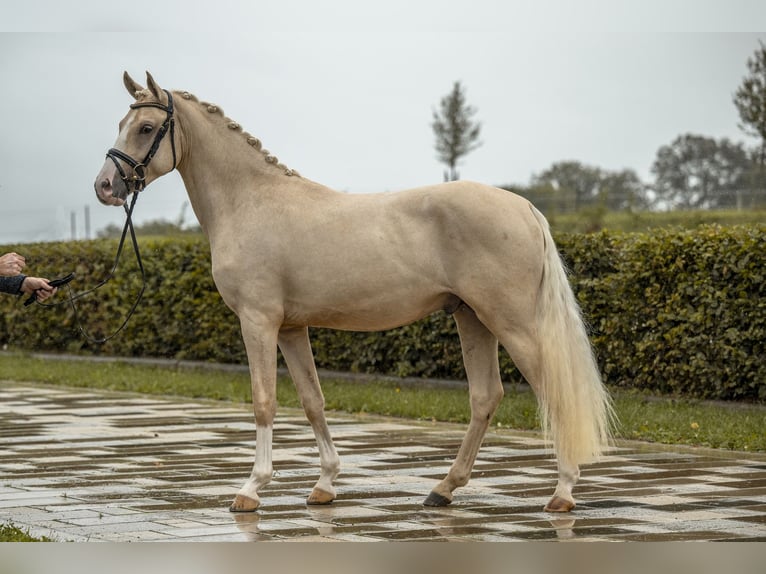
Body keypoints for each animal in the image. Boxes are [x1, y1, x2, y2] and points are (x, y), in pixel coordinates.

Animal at [93, 70, 616, 516]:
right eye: (119, 124)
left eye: (144, 127)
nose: (105, 186)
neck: (250, 201)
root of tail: (526, 207)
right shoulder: (291, 327)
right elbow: (312, 400)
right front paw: (324, 484)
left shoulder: (258, 321)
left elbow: (264, 400)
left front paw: (250, 489)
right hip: (471, 317)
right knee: (486, 397)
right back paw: (443, 489)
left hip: (510, 322)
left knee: (553, 391)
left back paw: (562, 492)